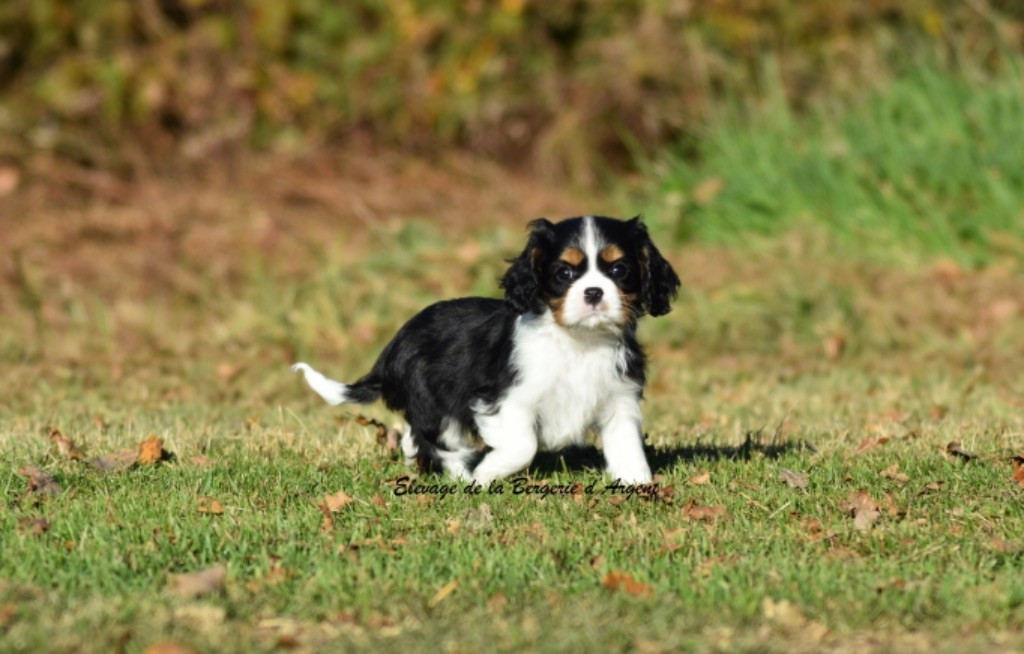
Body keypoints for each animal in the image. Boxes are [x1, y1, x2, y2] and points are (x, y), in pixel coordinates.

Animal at [292, 215, 679, 487]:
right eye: (564, 273)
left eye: (619, 269)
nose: (594, 292)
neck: (579, 341)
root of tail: (394, 347)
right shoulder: (502, 398)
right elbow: (523, 447)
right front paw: (486, 474)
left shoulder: (618, 399)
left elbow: (628, 447)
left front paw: (638, 485)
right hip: (435, 402)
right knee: (434, 439)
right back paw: (462, 477)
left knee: (412, 438)